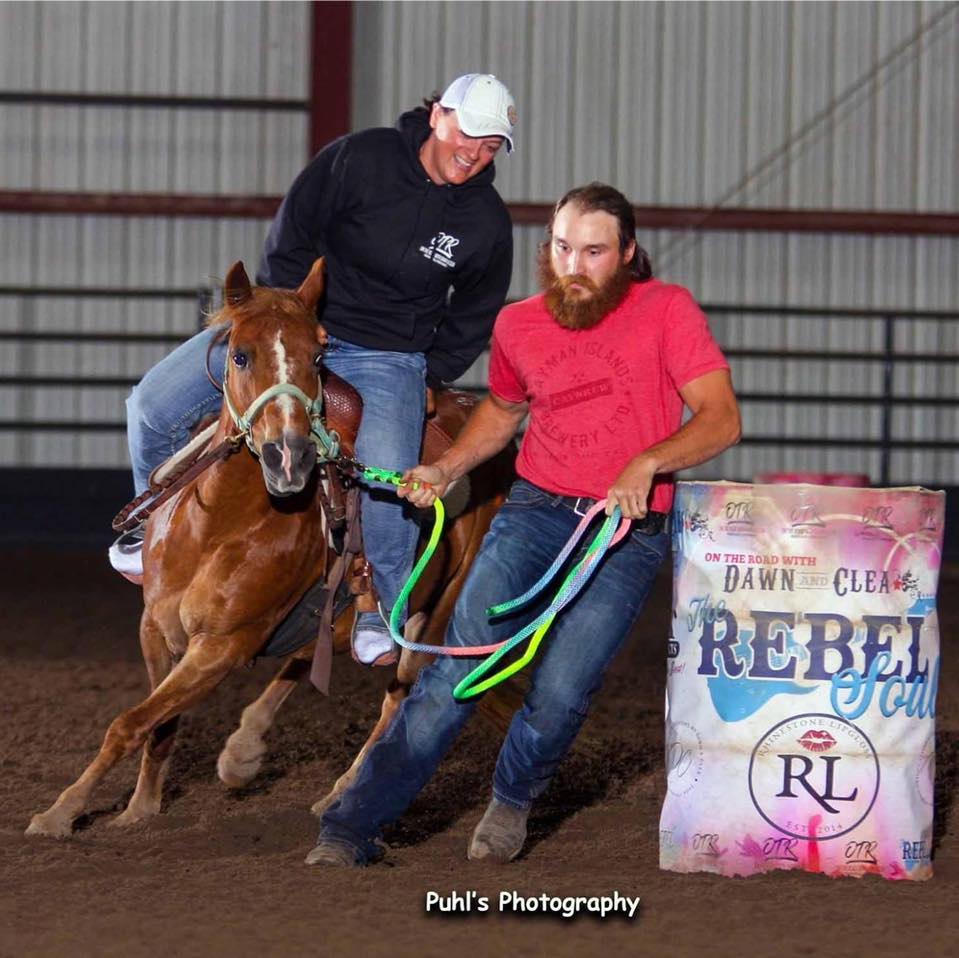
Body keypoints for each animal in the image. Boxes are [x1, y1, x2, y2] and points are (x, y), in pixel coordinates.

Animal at [26, 258, 516, 836]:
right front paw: (139, 808)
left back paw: (342, 791)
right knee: (309, 655)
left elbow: (129, 723)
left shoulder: (223, 645)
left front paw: (61, 812)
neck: (217, 525)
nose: (290, 457)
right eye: (240, 353)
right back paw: (244, 750)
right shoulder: (156, 629)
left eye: (319, 356)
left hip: (436, 614)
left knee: (400, 696)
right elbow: (157, 721)